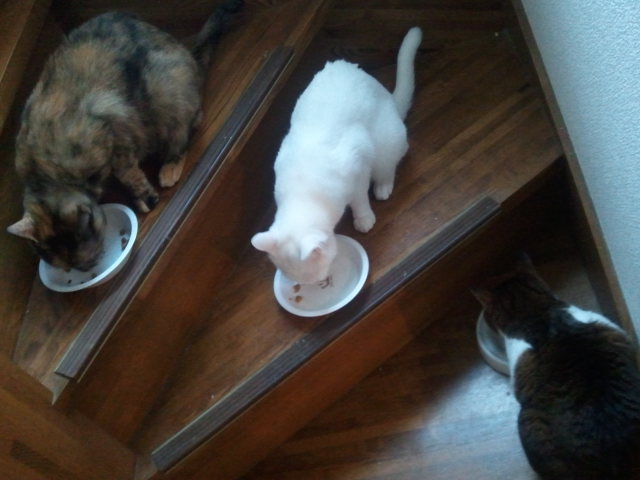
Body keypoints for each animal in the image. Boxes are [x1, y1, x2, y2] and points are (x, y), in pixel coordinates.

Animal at [7, 0, 243, 271]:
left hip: (166, 91)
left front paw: (146, 199)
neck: (47, 174)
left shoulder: (114, 131)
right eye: (69, 268)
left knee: (187, 128)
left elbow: (128, 174)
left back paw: (169, 168)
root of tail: (188, 55)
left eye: (83, 260)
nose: (86, 268)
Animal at [251, 27, 422, 285]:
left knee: (389, 166)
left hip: (386, 142)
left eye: (318, 277)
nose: (320, 283)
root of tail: (390, 100)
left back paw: (382, 188)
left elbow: (360, 199)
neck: (303, 192)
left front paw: (364, 219)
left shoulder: (359, 166)